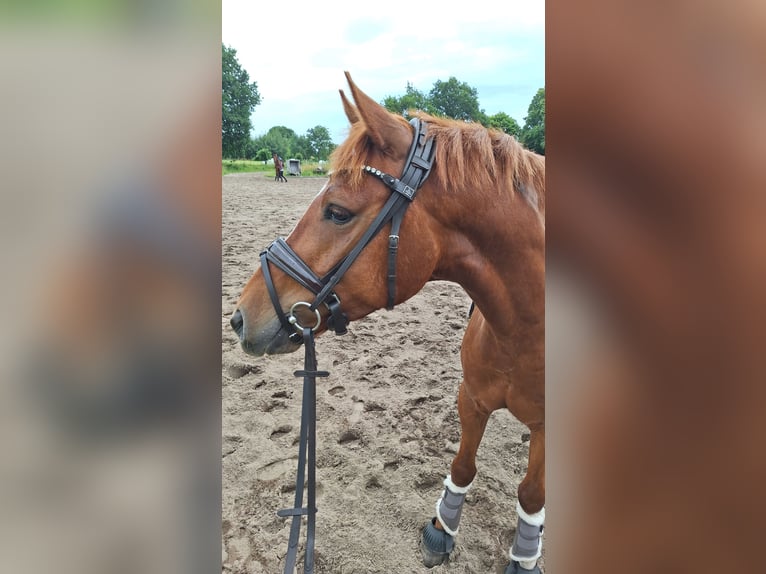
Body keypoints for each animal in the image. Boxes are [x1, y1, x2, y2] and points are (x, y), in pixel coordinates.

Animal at [231, 72, 545, 573]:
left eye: (337, 212)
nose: (241, 316)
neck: (523, 331)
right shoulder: (472, 397)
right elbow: (463, 464)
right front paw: (442, 527)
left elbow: (532, 493)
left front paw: (525, 554)